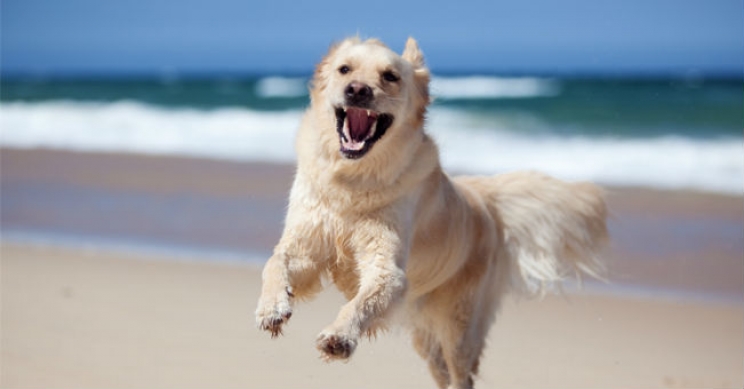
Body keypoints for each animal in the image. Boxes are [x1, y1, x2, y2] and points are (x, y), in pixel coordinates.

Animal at [253, 37, 608, 388]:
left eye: (390, 76)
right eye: (344, 69)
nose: (356, 90)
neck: (352, 179)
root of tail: (482, 198)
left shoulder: (386, 268)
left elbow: (361, 302)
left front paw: (340, 336)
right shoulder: (307, 247)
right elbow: (275, 262)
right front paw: (272, 307)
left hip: (459, 327)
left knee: (461, 374)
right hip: (425, 334)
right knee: (441, 370)